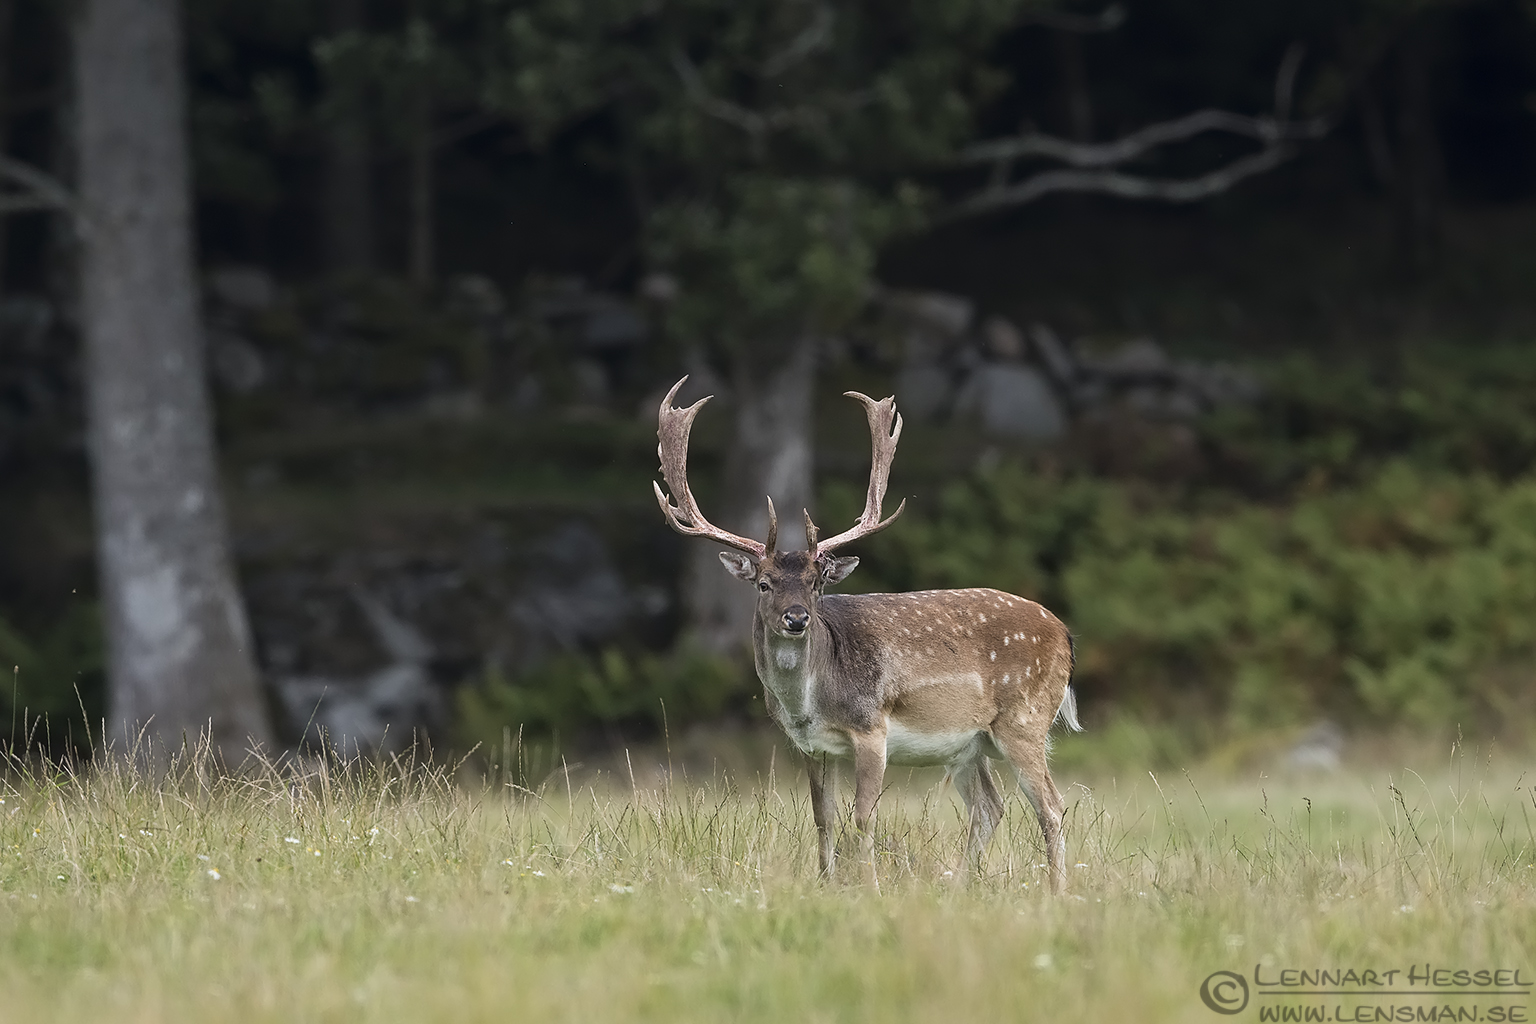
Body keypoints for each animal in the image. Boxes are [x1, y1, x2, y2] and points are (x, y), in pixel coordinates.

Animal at [653, 377, 1083, 892]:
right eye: (764, 583)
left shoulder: (872, 728)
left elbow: (864, 817)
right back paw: (958, 887)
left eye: (817, 583)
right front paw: (824, 883)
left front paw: (870, 887)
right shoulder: (810, 746)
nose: (796, 618)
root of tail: (1064, 633)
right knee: (989, 807)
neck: (811, 702)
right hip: (969, 745)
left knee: (1052, 807)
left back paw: (1056, 893)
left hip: (1025, 720)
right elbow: (823, 818)